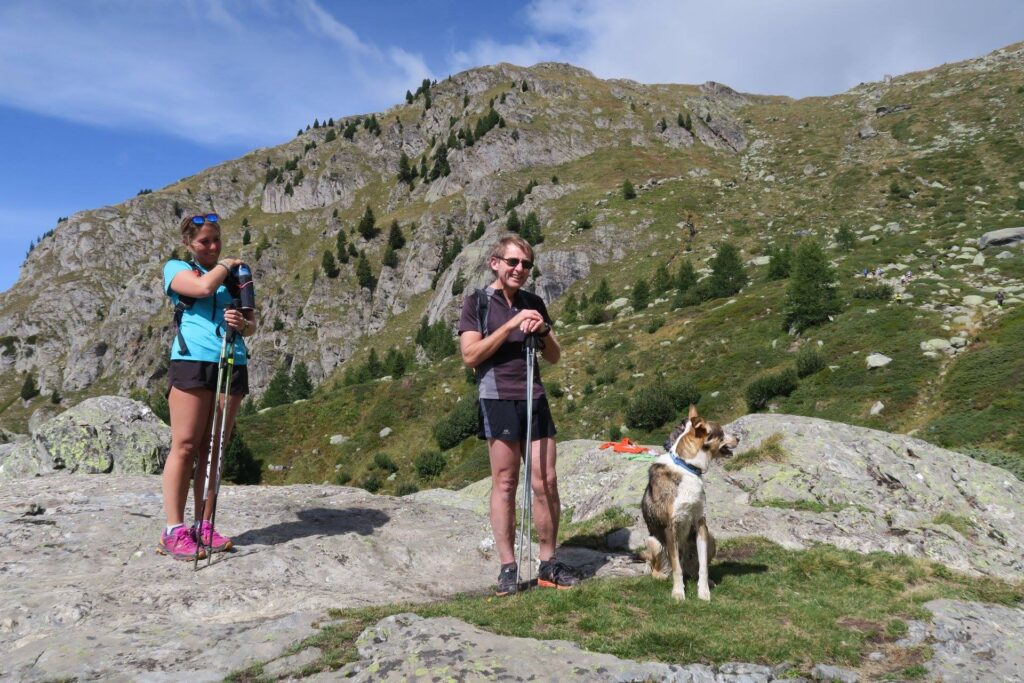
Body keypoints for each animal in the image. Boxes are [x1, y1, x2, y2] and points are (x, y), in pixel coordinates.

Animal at [638, 403, 737, 602]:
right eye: (722, 432)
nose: (739, 438)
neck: (688, 467)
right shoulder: (670, 527)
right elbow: (676, 568)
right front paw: (678, 593)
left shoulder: (700, 523)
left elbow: (704, 568)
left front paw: (704, 592)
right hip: (653, 541)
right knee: (661, 568)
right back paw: (662, 576)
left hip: (711, 539)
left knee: (693, 569)